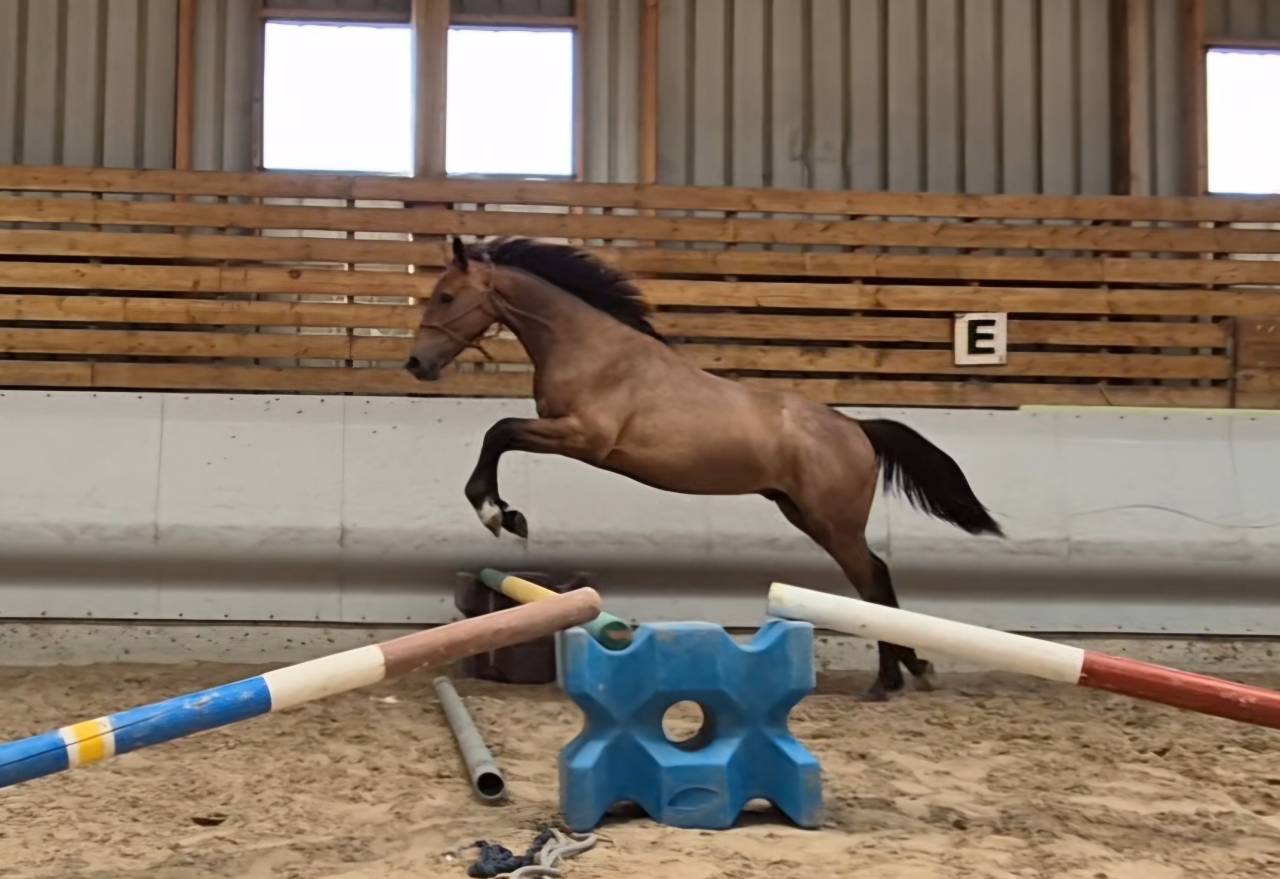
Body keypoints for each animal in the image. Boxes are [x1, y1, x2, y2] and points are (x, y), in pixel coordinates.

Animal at [405, 236, 1004, 701]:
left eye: (447, 295)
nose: (416, 363)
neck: (594, 351)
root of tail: (856, 428)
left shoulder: (583, 438)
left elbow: (499, 431)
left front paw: (496, 512)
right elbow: (501, 434)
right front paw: (505, 513)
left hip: (833, 524)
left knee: (874, 580)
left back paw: (890, 680)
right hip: (804, 514)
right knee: (874, 581)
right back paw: (910, 670)